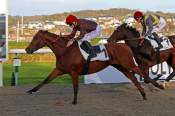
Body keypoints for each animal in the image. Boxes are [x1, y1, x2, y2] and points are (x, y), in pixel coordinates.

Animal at [25, 29, 163, 104]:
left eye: (36, 38)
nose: (27, 49)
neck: (65, 50)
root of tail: (125, 45)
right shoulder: (59, 69)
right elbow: (46, 80)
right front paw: (31, 90)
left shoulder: (73, 72)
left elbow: (75, 88)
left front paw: (74, 101)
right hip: (121, 67)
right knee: (133, 78)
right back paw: (144, 95)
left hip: (128, 63)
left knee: (142, 73)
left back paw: (159, 86)